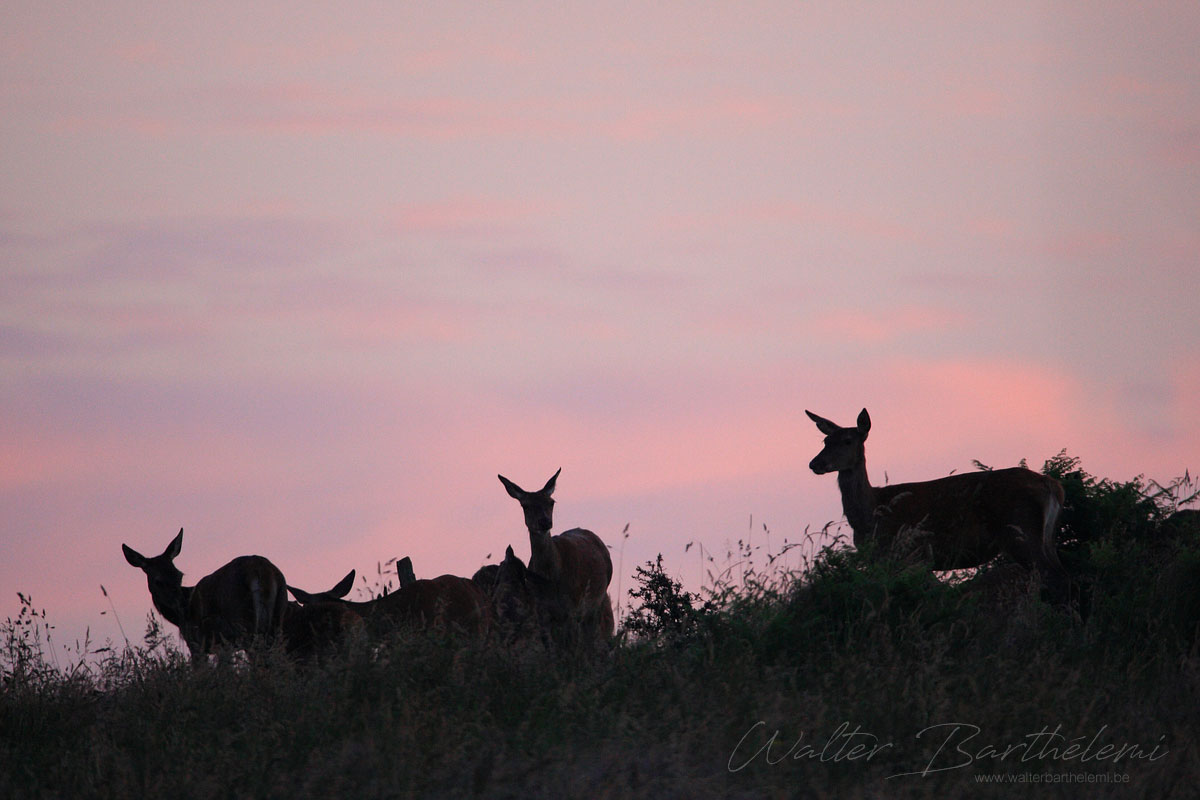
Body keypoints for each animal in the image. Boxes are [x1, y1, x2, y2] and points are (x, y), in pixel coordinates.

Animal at [121, 528, 288, 665]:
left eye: (179, 575)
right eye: (158, 581)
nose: (182, 605)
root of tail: (260, 570)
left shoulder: (200, 644)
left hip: (241, 622)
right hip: (278, 614)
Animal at [498, 468, 614, 646]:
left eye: (551, 502)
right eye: (525, 505)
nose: (544, 522)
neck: (551, 577)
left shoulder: (573, 607)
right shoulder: (541, 610)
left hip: (598, 601)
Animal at [805, 409, 1067, 591]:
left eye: (848, 441)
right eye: (825, 441)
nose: (815, 463)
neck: (871, 514)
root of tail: (1052, 485)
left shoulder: (913, 555)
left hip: (1020, 530)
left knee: (1053, 575)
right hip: (1044, 536)